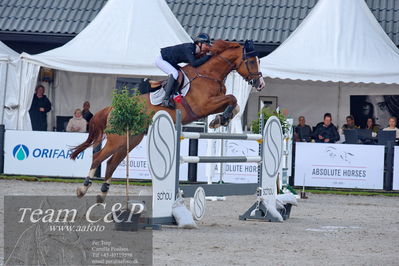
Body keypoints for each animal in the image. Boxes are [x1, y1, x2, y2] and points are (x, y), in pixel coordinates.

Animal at [71, 39, 266, 202]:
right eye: (251, 61)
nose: (260, 84)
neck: (208, 74)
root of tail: (113, 108)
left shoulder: (213, 103)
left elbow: (235, 104)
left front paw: (220, 119)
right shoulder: (203, 106)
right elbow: (232, 98)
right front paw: (219, 119)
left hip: (132, 139)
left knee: (111, 163)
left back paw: (102, 194)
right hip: (117, 139)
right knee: (98, 158)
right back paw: (82, 189)